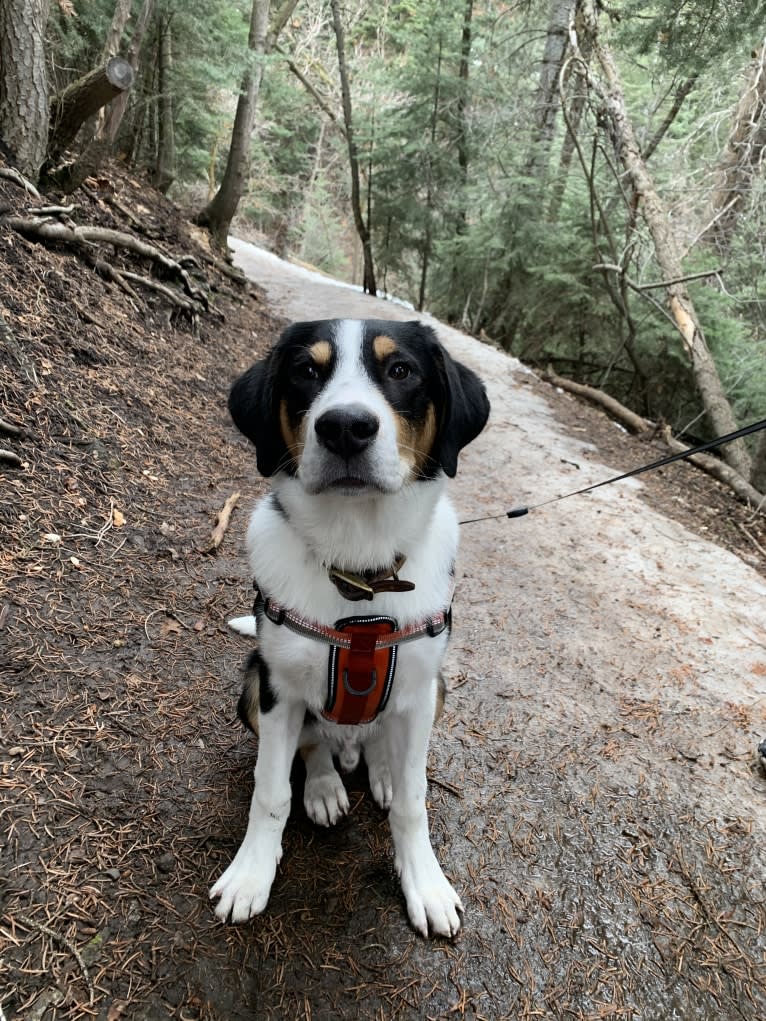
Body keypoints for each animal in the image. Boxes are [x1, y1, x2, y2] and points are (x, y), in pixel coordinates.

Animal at [208, 314, 492, 935]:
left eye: (401, 370)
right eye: (305, 371)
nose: (344, 428)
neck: (359, 574)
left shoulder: (420, 691)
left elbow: (413, 801)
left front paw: (425, 884)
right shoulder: (277, 692)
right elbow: (270, 793)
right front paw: (251, 874)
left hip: (436, 691)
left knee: (385, 747)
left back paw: (380, 771)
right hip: (251, 686)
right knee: (314, 744)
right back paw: (324, 786)